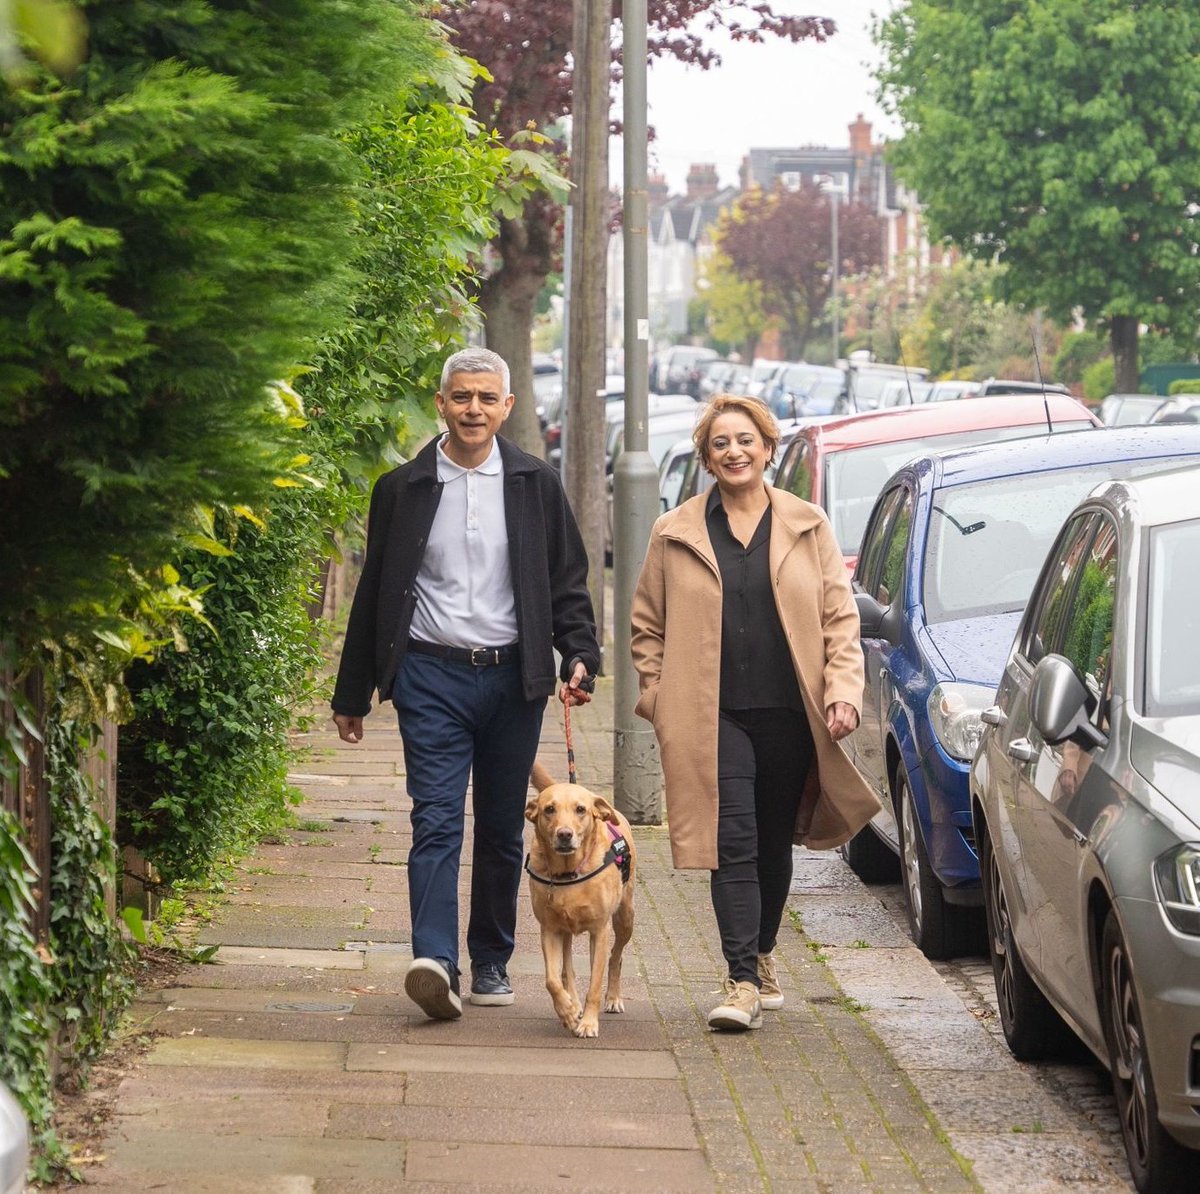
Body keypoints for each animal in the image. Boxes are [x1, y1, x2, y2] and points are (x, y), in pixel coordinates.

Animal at [525, 768, 638, 1036]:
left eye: (580, 809)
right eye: (549, 809)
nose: (565, 835)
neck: (569, 872)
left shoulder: (599, 931)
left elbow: (595, 984)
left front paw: (588, 1023)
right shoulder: (549, 930)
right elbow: (552, 979)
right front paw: (567, 1010)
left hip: (625, 919)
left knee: (615, 957)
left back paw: (613, 998)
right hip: (565, 930)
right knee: (567, 969)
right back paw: (573, 1003)